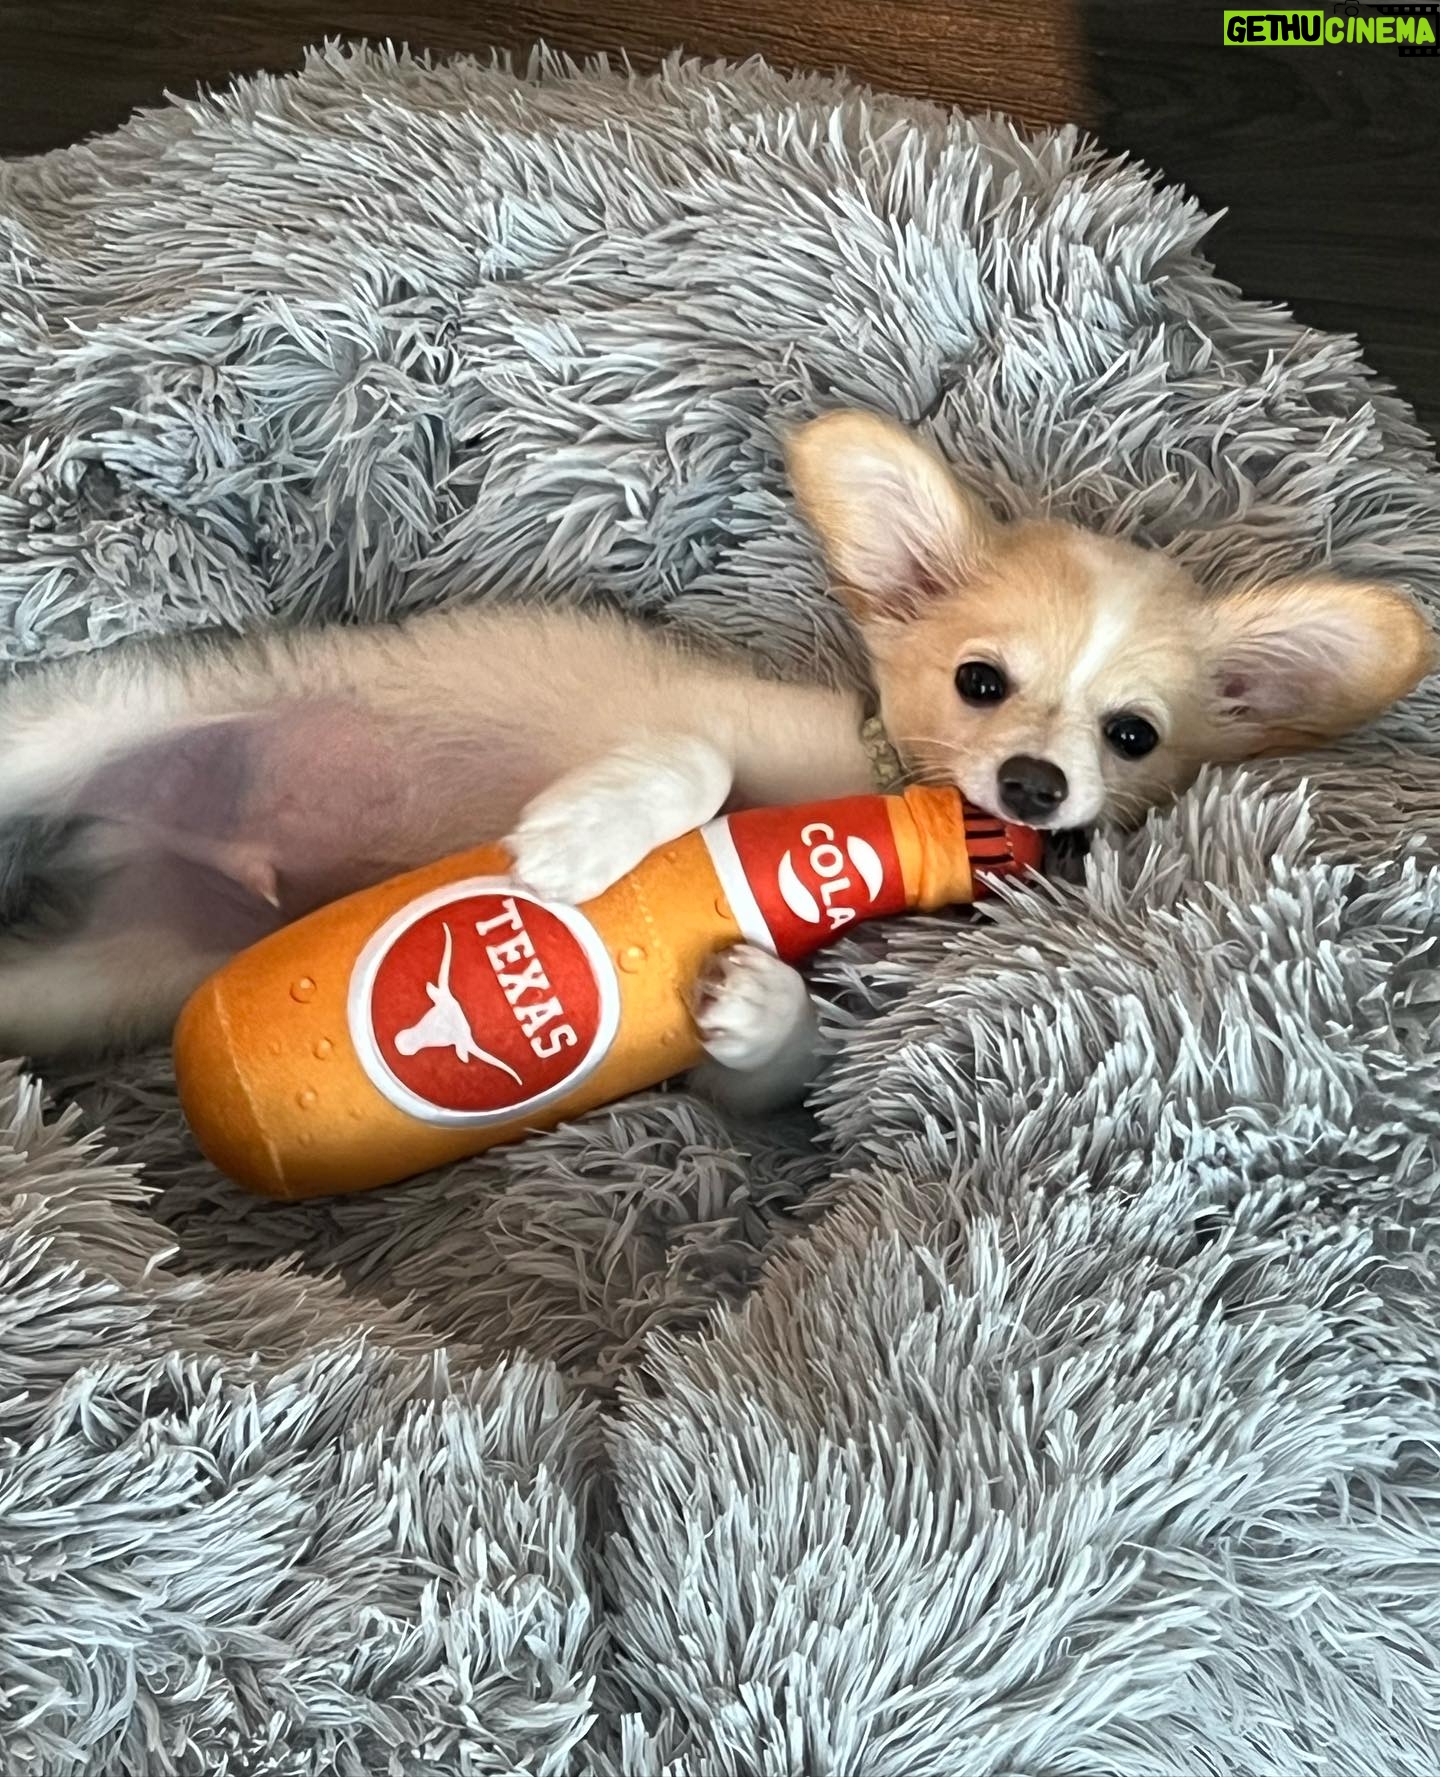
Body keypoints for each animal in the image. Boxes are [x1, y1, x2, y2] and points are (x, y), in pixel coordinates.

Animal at [0, 409, 1429, 1106]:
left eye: (1133, 735)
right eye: (981, 684)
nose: (1033, 785)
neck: (869, 785)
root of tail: (133, 836)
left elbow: (768, 1065)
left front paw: (759, 1003)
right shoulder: (710, 722)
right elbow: (686, 765)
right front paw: (576, 844)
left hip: (110, 976)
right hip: (83, 726)